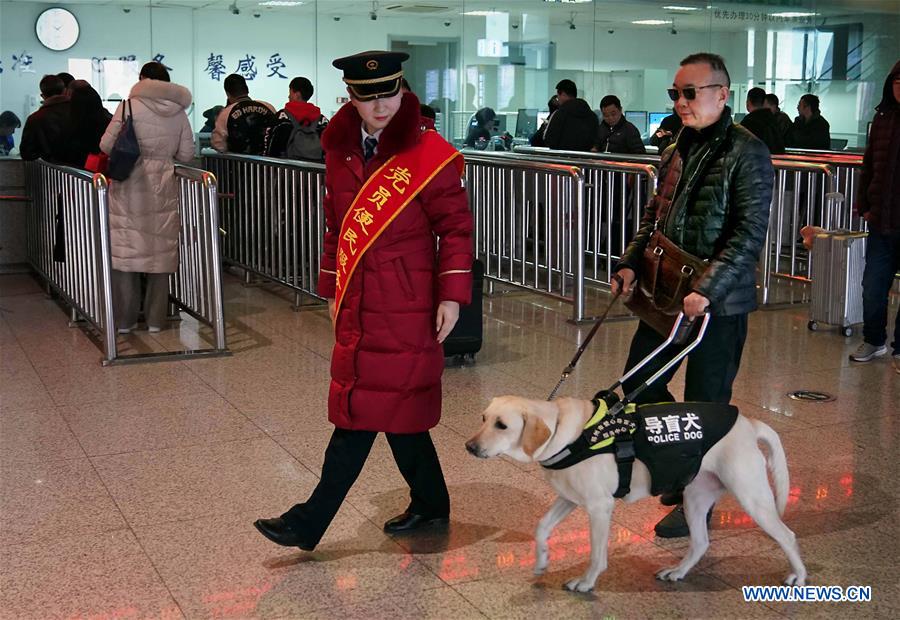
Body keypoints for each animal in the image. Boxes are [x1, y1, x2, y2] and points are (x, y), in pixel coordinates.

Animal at [468, 394, 804, 592]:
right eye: (483, 418)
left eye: (502, 425)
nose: (469, 446)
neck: (566, 432)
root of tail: (749, 423)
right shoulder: (569, 498)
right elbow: (541, 527)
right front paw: (541, 560)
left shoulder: (599, 507)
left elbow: (596, 554)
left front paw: (587, 581)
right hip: (695, 498)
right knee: (700, 542)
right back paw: (677, 571)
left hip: (752, 496)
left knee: (788, 536)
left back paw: (798, 576)